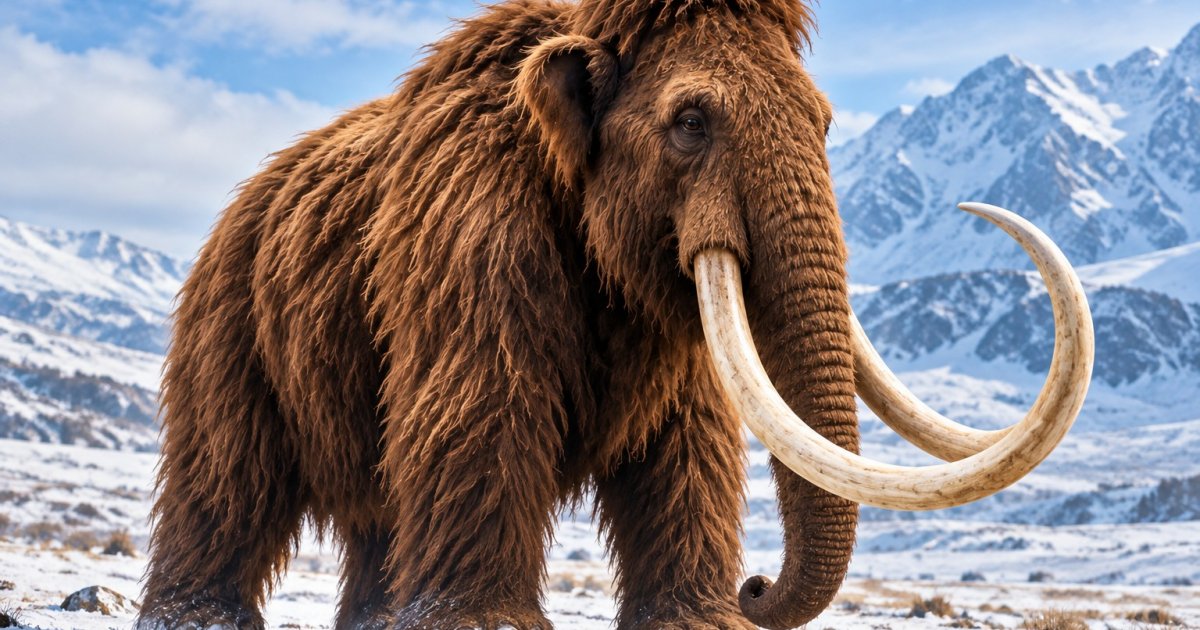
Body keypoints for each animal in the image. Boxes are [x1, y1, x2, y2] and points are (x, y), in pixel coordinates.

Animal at [137, 0, 1094, 628]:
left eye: (823, 120)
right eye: (692, 119)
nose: (755, 589)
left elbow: (686, 453)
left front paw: (696, 616)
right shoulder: (472, 260)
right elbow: (485, 424)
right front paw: (482, 620)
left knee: (377, 519)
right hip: (228, 342)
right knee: (227, 494)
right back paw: (197, 615)